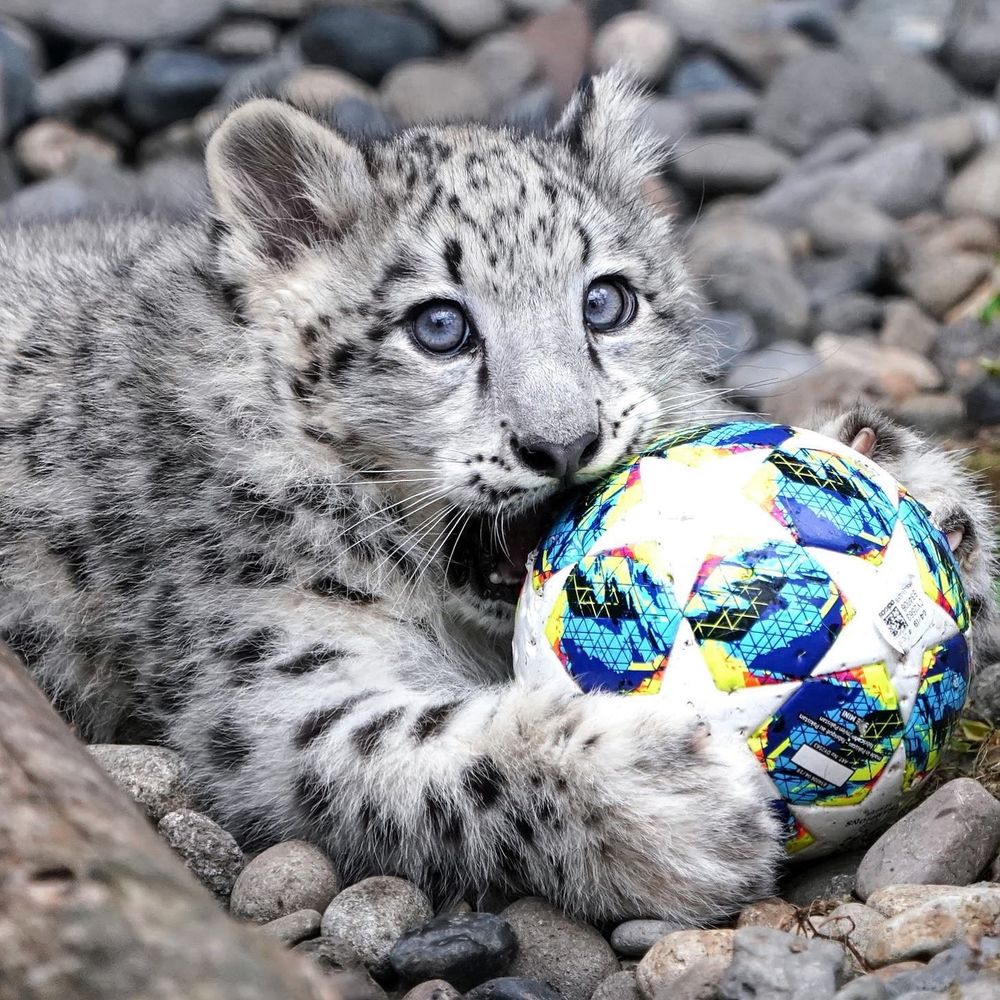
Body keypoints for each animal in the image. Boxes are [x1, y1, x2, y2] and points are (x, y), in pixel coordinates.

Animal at [0, 71, 992, 925]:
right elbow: (407, 750)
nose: (565, 443)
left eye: (606, 302)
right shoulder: (269, 680)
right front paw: (667, 798)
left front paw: (921, 492)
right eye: (439, 325)